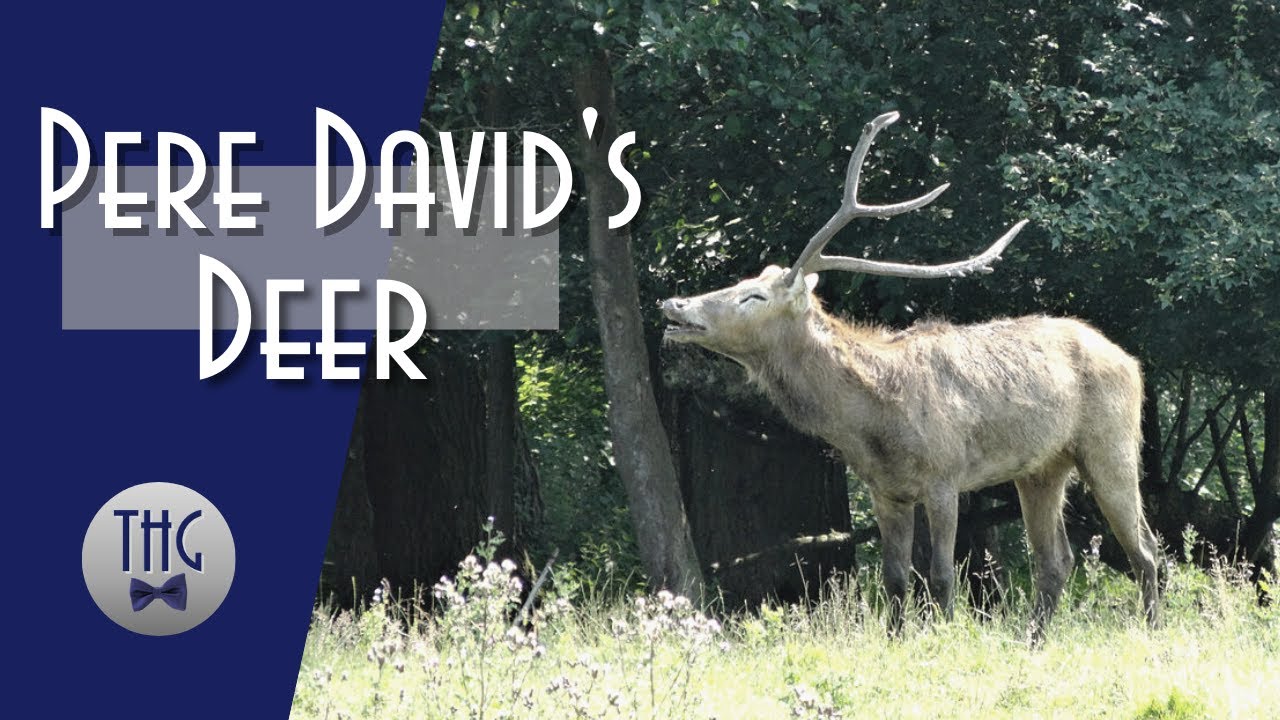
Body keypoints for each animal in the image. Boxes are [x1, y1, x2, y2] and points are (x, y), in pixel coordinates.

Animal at [661, 112, 1161, 640]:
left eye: (752, 296)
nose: (675, 303)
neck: (872, 424)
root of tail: (1130, 361)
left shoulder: (945, 475)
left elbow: (941, 575)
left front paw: (946, 636)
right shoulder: (886, 490)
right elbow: (895, 578)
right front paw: (895, 639)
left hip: (1112, 443)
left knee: (1144, 548)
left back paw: (1152, 629)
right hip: (1041, 467)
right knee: (1056, 560)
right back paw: (1033, 640)